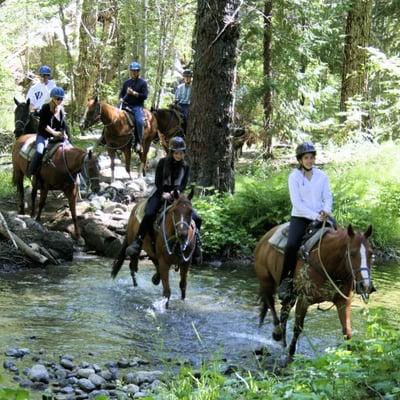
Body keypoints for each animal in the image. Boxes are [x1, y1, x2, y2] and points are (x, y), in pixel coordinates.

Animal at [255, 223, 374, 358]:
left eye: (371, 253)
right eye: (352, 253)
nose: (365, 285)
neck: (329, 264)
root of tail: (264, 238)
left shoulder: (343, 302)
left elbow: (347, 331)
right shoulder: (304, 300)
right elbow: (298, 327)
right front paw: (291, 354)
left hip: (291, 295)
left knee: (284, 312)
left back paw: (283, 343)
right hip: (267, 282)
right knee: (271, 305)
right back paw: (277, 333)